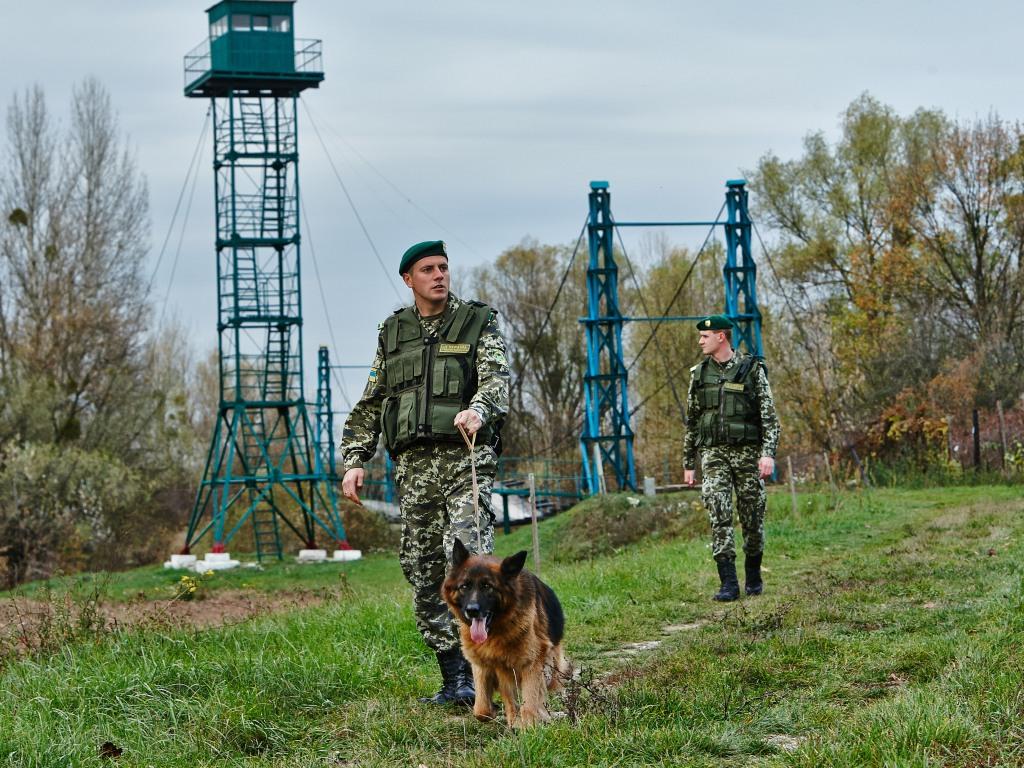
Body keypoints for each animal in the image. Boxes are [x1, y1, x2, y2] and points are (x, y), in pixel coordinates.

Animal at [440, 536, 569, 729]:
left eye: (487, 586)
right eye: (464, 586)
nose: (472, 610)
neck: (497, 630)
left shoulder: (531, 663)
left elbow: (530, 703)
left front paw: (529, 726)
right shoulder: (487, 665)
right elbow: (482, 709)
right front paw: (507, 717)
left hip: (549, 666)